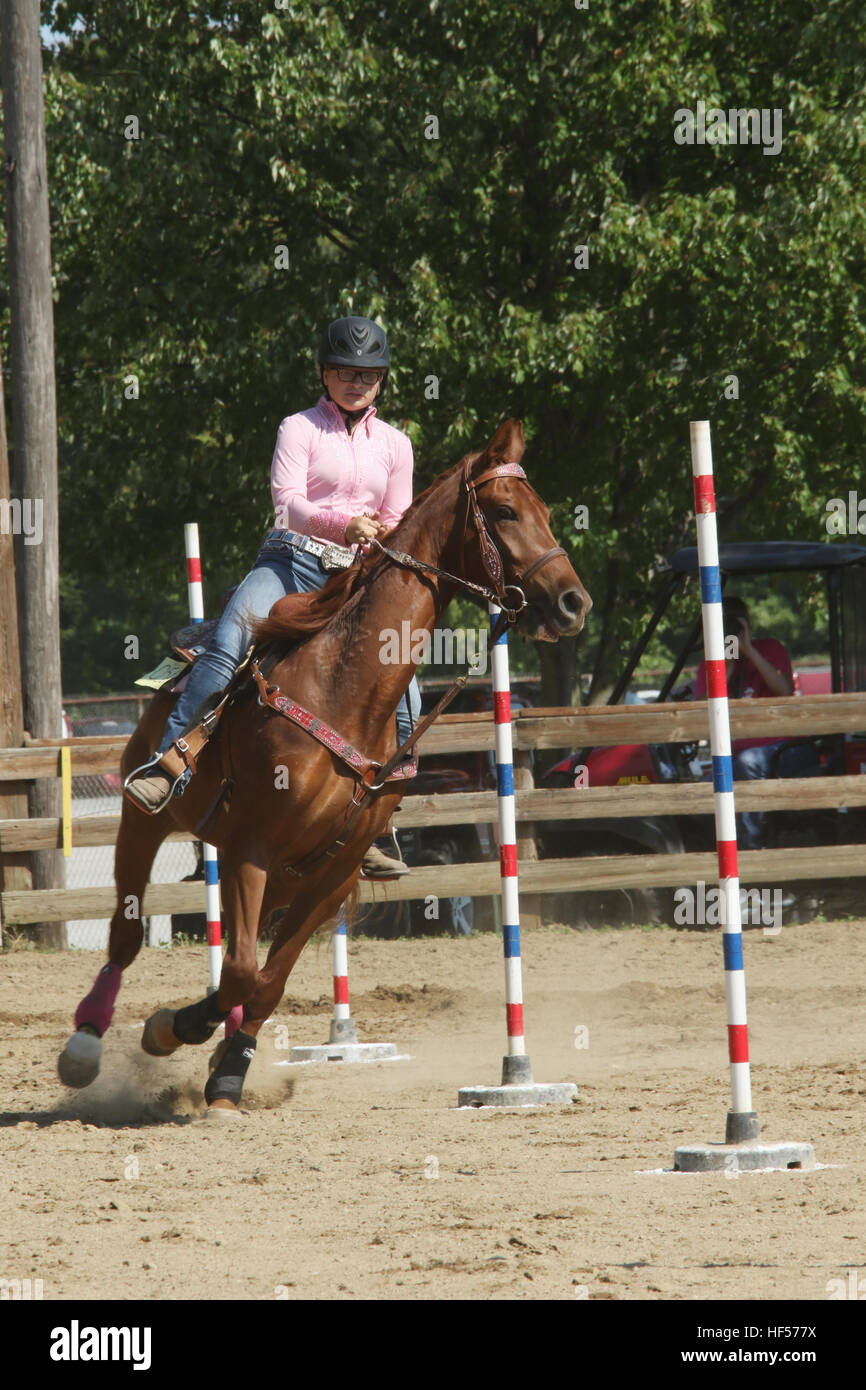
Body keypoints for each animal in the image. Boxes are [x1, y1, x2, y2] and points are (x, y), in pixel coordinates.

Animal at [57, 417, 592, 1112]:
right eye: (504, 511)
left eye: (548, 511)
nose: (573, 603)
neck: (341, 688)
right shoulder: (251, 848)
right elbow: (239, 972)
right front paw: (170, 1031)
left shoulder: (331, 873)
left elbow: (265, 980)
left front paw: (227, 1073)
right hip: (145, 822)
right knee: (125, 935)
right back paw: (84, 1045)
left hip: (286, 874)